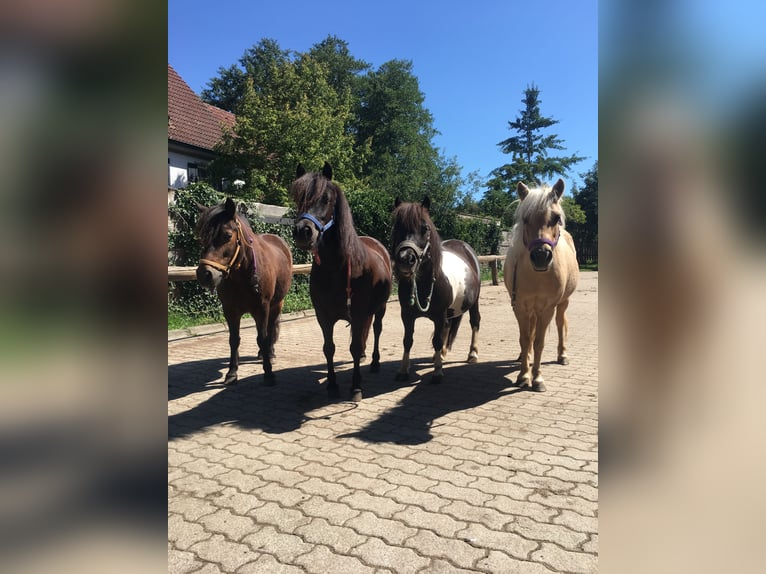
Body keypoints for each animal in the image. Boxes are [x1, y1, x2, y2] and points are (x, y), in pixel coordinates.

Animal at [195, 197, 293, 385]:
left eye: (227, 235)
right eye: (202, 237)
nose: (205, 274)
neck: (242, 275)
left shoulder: (262, 308)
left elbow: (263, 337)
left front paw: (268, 373)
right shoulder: (230, 310)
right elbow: (234, 340)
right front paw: (232, 373)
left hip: (277, 303)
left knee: (271, 329)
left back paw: (269, 354)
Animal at [291, 163, 392, 402]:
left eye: (326, 198)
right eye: (297, 197)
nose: (303, 232)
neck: (335, 269)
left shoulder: (358, 312)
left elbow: (353, 347)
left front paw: (356, 387)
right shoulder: (323, 316)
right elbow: (329, 348)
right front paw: (332, 385)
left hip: (381, 307)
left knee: (376, 329)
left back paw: (374, 362)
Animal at [391, 197, 481, 384]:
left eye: (424, 228)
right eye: (397, 227)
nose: (405, 259)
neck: (424, 285)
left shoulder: (439, 316)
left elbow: (438, 341)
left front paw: (437, 373)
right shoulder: (407, 316)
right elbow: (407, 340)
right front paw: (403, 371)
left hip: (474, 302)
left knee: (475, 322)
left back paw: (472, 354)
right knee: (448, 327)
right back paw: (440, 356)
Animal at [504, 178, 579, 392]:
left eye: (556, 218)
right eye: (525, 219)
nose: (541, 256)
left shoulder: (547, 309)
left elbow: (539, 342)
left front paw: (537, 379)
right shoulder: (520, 307)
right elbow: (525, 339)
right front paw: (523, 375)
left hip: (562, 304)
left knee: (561, 324)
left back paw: (562, 355)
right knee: (531, 332)